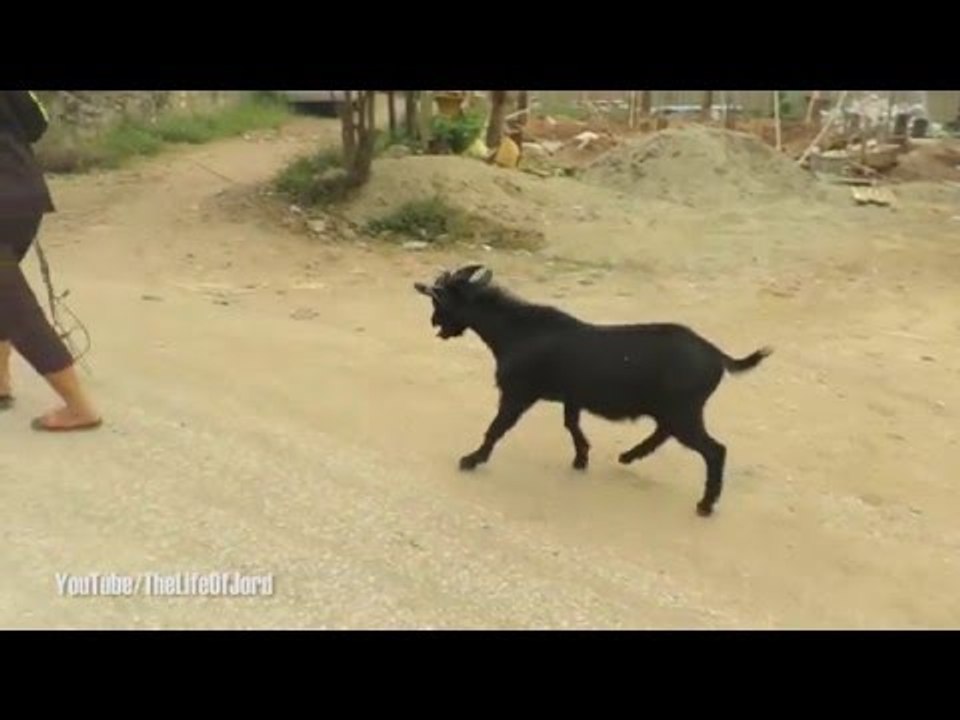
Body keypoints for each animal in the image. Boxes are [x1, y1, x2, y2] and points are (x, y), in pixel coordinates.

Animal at [414, 264, 772, 517]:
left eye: (439, 298)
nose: (433, 323)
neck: (517, 331)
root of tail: (718, 355)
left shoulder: (518, 394)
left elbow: (496, 428)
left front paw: (471, 460)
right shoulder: (571, 397)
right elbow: (571, 425)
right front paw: (581, 458)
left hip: (683, 411)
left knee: (714, 450)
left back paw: (705, 504)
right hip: (674, 411)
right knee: (665, 434)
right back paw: (629, 456)